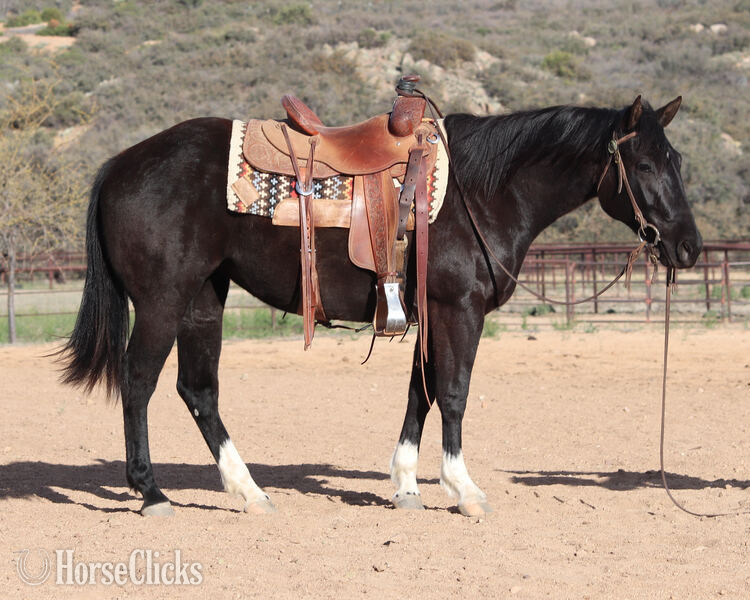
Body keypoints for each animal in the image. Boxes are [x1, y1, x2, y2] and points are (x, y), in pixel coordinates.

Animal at [59, 95, 702, 517]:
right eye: (646, 165)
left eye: (677, 162)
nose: (689, 247)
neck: (481, 191)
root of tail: (118, 166)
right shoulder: (459, 310)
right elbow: (454, 393)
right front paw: (462, 489)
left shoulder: (432, 314)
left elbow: (421, 393)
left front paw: (407, 486)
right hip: (162, 301)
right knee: (138, 381)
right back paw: (150, 493)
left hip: (203, 298)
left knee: (198, 391)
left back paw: (249, 492)